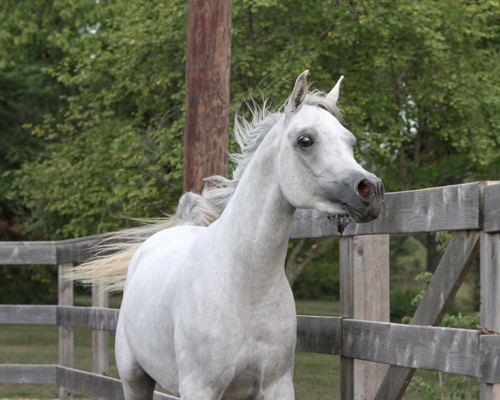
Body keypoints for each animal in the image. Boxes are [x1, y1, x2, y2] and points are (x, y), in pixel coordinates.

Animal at [76, 70, 384, 398]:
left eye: (350, 141)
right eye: (305, 140)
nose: (371, 190)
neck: (245, 287)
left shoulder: (277, 385)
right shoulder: (199, 388)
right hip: (134, 378)